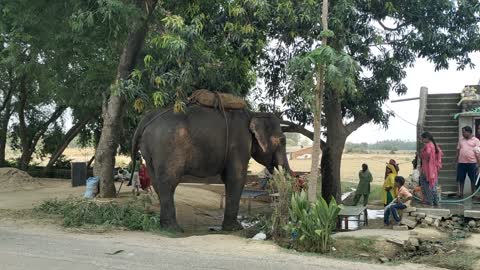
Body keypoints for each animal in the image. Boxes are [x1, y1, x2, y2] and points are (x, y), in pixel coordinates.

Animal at [129, 104, 290, 231]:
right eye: (283, 141)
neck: (253, 113)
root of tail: (148, 118)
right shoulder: (239, 143)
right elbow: (236, 177)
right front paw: (235, 229)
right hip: (168, 146)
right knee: (169, 182)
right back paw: (173, 229)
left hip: (149, 151)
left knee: (156, 182)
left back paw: (164, 226)